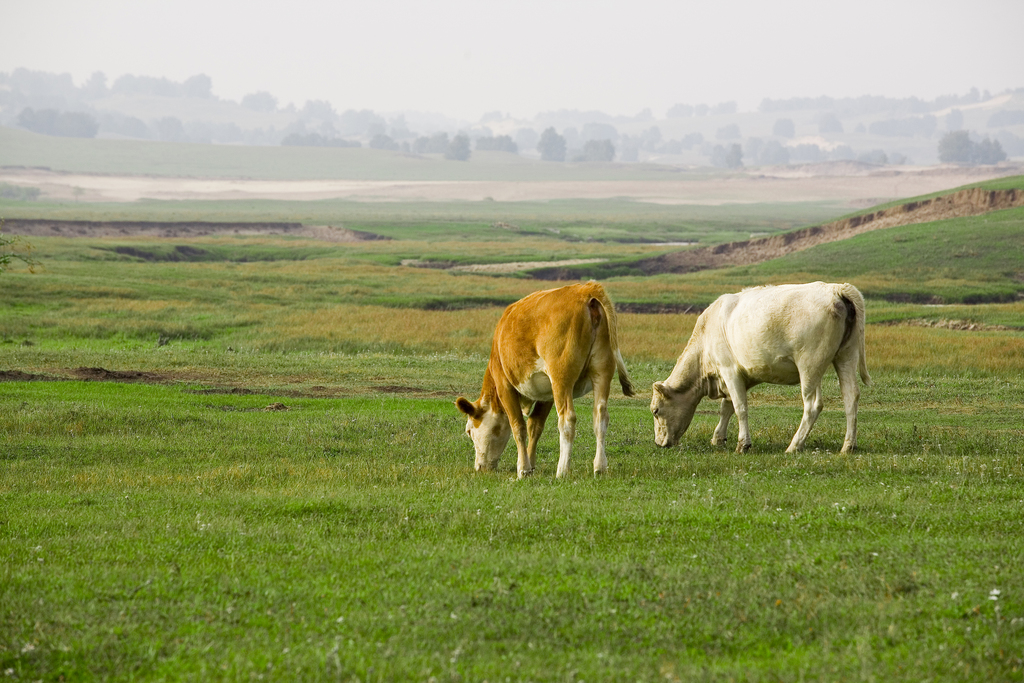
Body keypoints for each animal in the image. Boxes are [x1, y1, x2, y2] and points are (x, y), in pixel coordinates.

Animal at [456, 280, 630, 479]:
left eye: (469, 431)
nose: (479, 467)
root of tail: (587, 289)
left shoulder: (504, 384)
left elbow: (518, 426)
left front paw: (523, 468)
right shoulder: (547, 393)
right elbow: (535, 425)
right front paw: (531, 464)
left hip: (561, 377)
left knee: (567, 419)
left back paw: (562, 470)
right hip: (602, 371)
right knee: (600, 416)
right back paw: (599, 467)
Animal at [651, 282, 868, 454]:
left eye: (655, 410)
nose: (659, 443)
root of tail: (836, 289)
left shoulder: (729, 369)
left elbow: (740, 407)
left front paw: (743, 444)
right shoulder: (740, 376)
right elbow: (727, 407)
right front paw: (718, 438)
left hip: (809, 365)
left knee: (813, 405)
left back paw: (794, 445)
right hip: (846, 356)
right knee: (851, 396)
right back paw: (848, 446)